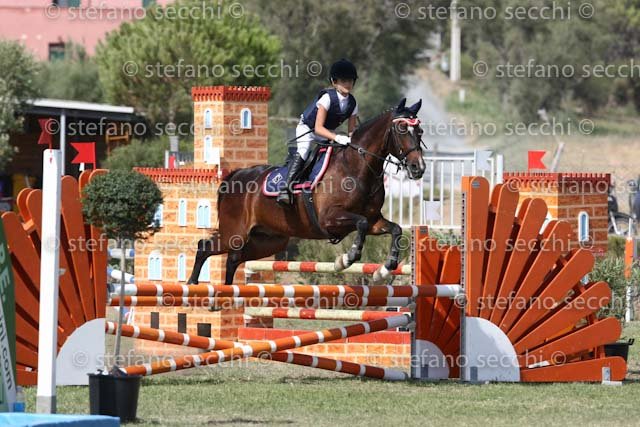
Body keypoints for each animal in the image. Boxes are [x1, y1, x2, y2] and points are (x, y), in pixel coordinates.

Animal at [187, 98, 426, 285]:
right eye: (402, 129)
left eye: (420, 131)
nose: (419, 168)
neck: (357, 167)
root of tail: (236, 175)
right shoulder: (330, 218)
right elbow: (361, 223)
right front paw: (346, 259)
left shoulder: (375, 219)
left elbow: (395, 229)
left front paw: (383, 270)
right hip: (235, 234)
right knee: (205, 247)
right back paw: (193, 284)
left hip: (269, 240)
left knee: (233, 259)